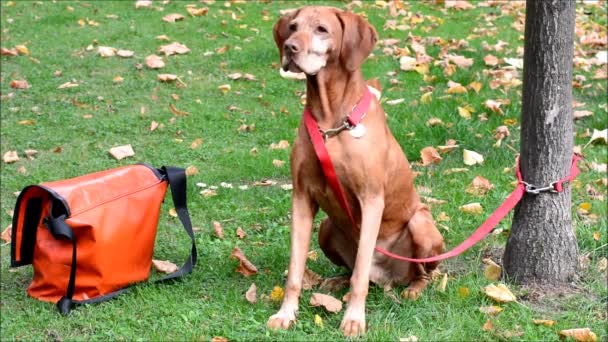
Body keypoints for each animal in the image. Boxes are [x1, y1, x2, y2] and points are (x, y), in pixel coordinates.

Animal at [268, 5, 444, 336]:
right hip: (326, 228)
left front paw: (353, 319)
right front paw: (286, 313)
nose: (290, 48)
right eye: (293, 27)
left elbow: (360, 275)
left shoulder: (372, 199)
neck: (330, 120)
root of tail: (387, 278)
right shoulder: (301, 197)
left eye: (322, 29)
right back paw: (336, 281)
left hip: (421, 225)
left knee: (420, 274)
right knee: (351, 268)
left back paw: (414, 288)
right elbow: (295, 269)